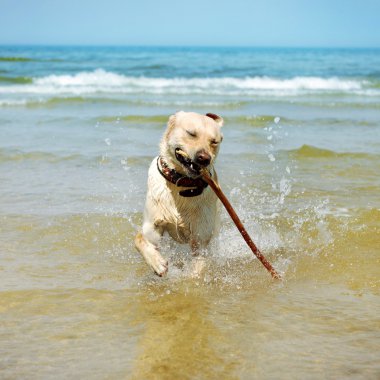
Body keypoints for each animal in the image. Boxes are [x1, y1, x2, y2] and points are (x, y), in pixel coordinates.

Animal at [136, 110, 223, 276]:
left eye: (214, 141)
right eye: (191, 133)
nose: (204, 158)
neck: (181, 183)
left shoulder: (200, 240)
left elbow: (198, 266)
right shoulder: (152, 226)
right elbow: (139, 239)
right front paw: (157, 263)